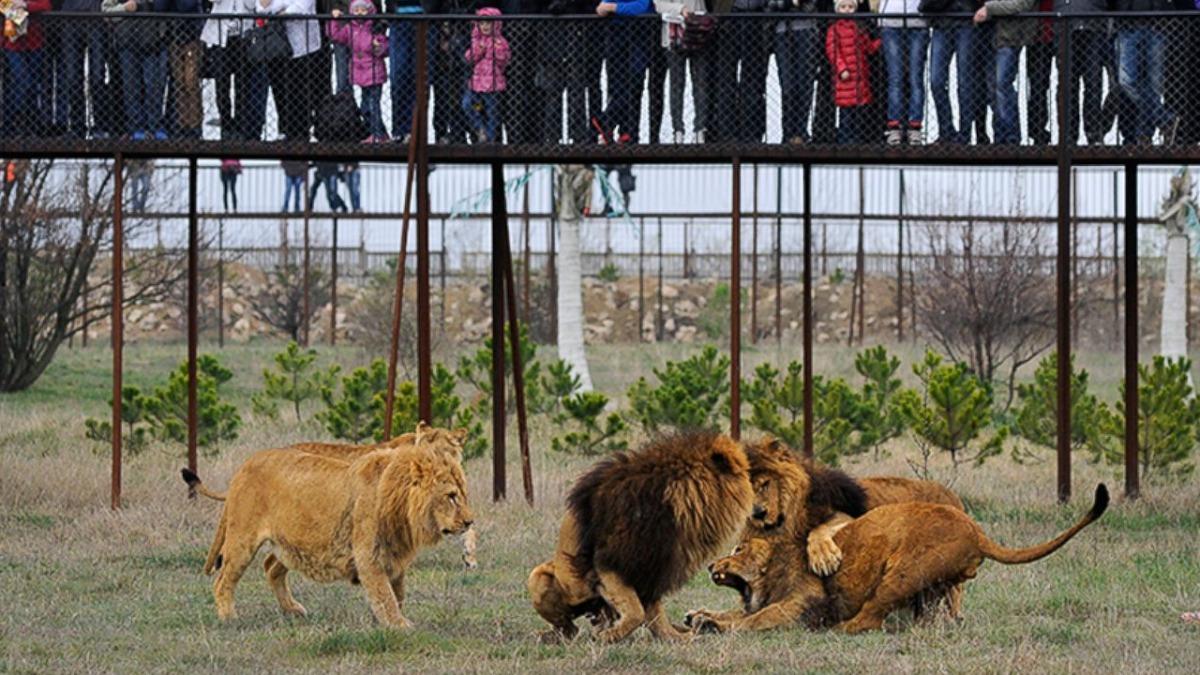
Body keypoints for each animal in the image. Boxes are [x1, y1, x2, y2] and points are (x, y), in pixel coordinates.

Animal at [182, 437, 472, 624]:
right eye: (451, 496)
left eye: (463, 494)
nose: (470, 522)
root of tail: (244, 466)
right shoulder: (369, 557)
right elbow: (385, 597)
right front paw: (400, 627)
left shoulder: (395, 558)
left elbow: (397, 594)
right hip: (242, 540)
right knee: (223, 580)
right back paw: (229, 618)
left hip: (290, 543)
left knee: (271, 567)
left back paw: (293, 610)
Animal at [525, 427, 748, 643]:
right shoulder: (609, 563)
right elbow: (636, 613)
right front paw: (609, 636)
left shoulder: (652, 569)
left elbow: (654, 615)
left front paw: (679, 636)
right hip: (538, 576)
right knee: (568, 628)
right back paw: (548, 637)